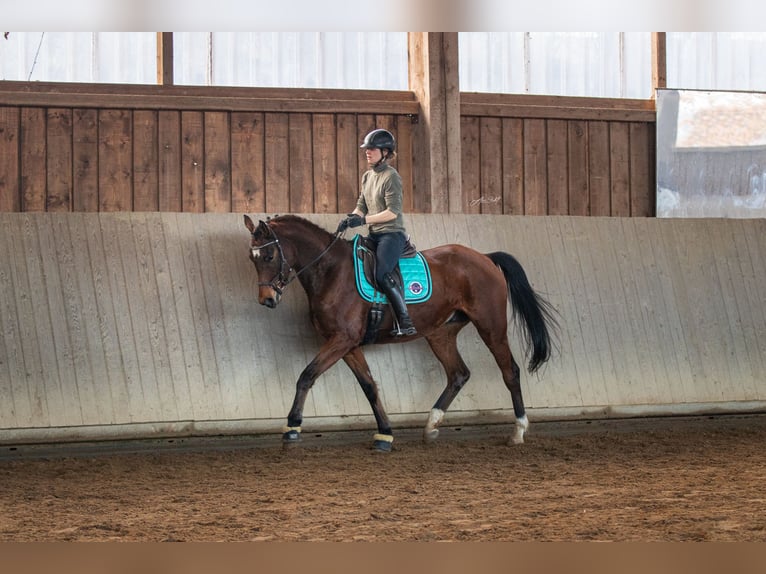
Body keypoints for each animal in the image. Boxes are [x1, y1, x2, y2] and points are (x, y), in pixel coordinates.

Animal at [246, 214, 560, 452]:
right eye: (252, 259)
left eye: (270, 255)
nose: (267, 300)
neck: (331, 271)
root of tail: (484, 257)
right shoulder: (347, 344)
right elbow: (369, 385)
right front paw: (384, 433)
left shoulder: (342, 340)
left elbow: (307, 375)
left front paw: (292, 428)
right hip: (440, 333)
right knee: (458, 373)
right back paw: (431, 426)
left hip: (491, 326)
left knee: (510, 371)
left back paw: (518, 431)